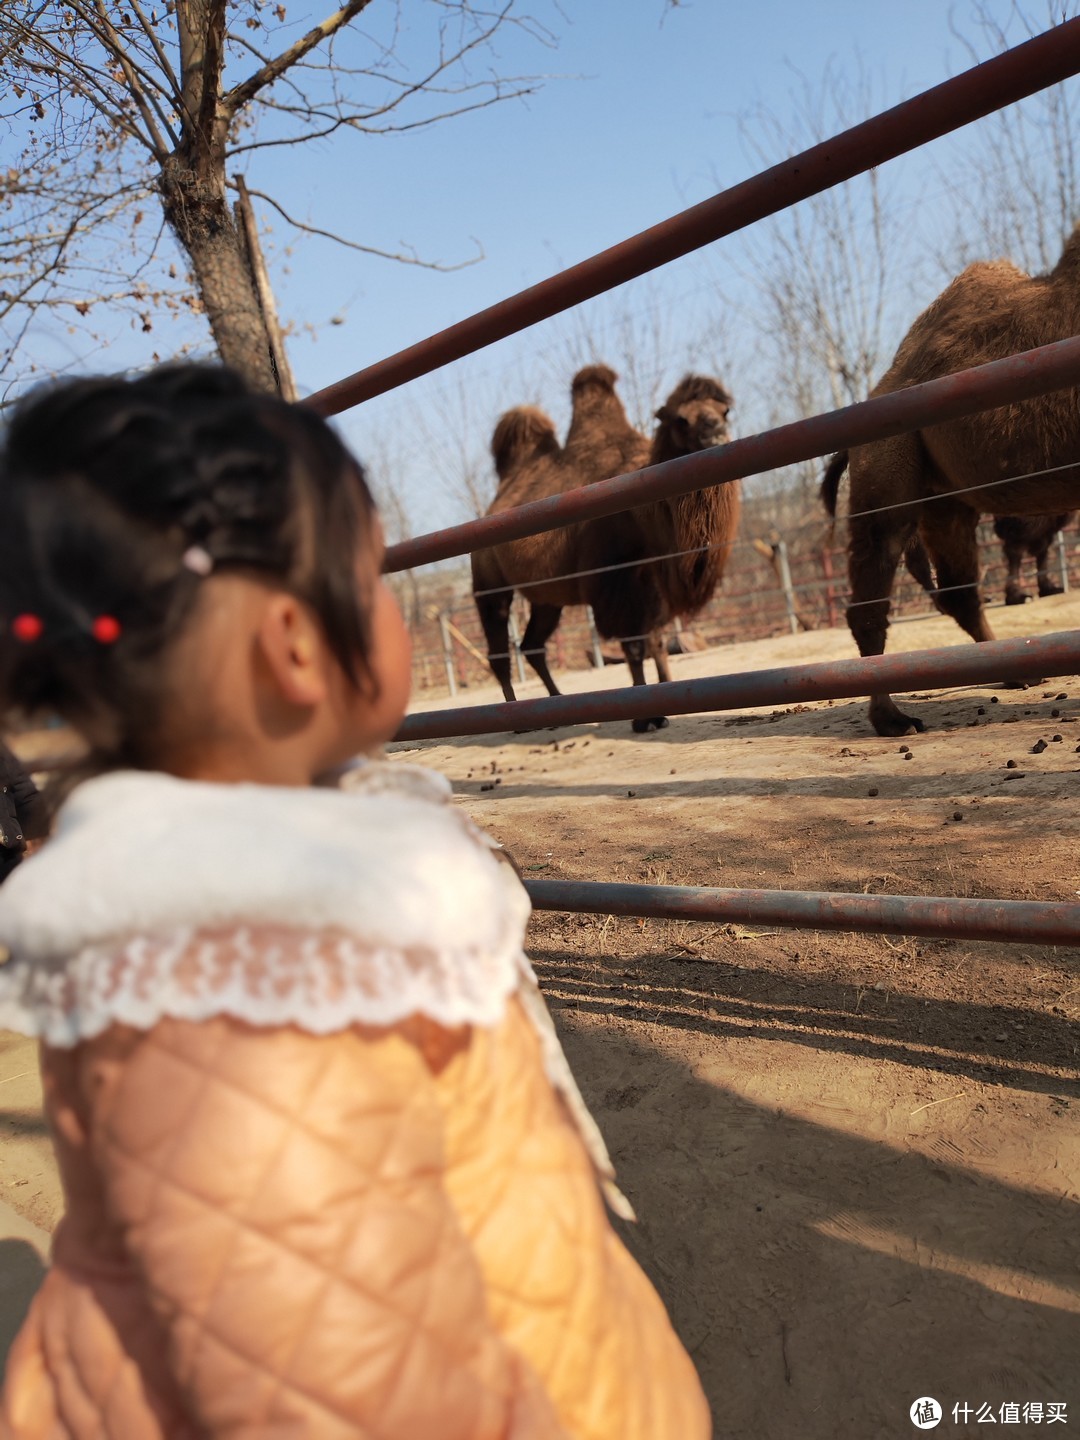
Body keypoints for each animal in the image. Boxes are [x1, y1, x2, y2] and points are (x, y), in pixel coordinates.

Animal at [475, 362, 743, 731]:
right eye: (680, 419)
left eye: (724, 410)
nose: (715, 431)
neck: (644, 512)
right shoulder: (617, 580)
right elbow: (634, 646)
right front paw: (646, 717)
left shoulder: (651, 579)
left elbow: (657, 640)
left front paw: (666, 701)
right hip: (490, 582)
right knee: (499, 649)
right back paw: (517, 718)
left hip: (547, 597)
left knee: (533, 645)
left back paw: (555, 705)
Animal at [817, 221, 1080, 743]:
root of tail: (881, 387)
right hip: (889, 458)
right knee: (875, 588)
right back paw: (893, 719)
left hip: (943, 495)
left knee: (958, 589)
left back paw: (1018, 671)